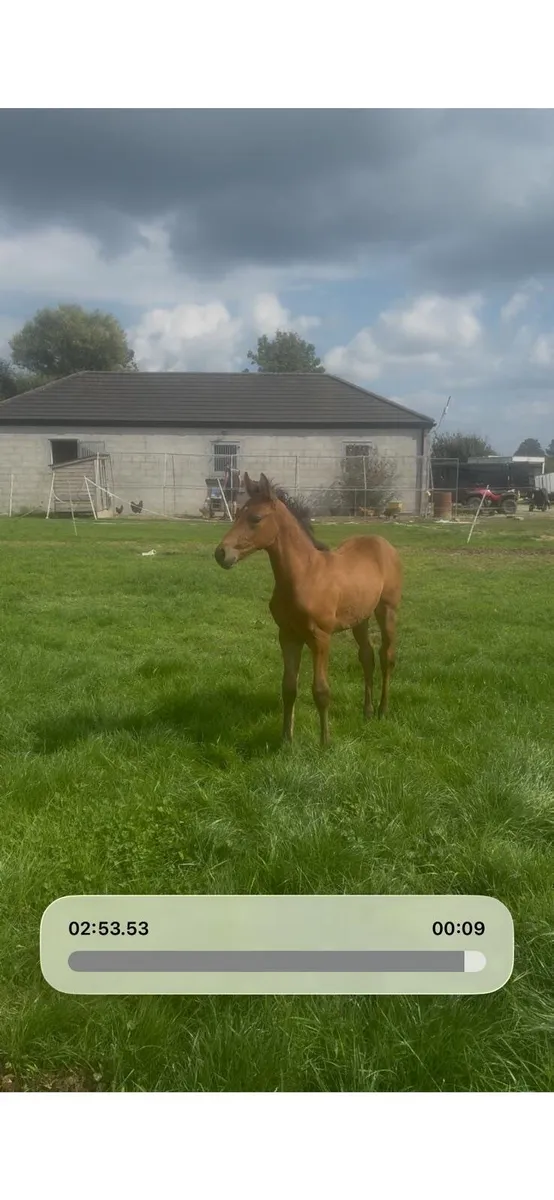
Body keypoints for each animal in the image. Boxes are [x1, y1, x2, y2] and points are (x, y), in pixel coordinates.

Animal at [214, 473, 402, 747]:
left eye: (256, 518)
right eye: (237, 513)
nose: (221, 553)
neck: (304, 575)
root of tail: (382, 543)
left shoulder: (320, 638)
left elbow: (321, 690)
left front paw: (325, 742)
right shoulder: (288, 636)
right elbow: (289, 687)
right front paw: (286, 739)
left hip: (386, 610)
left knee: (386, 656)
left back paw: (383, 710)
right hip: (360, 617)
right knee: (366, 657)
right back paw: (366, 712)